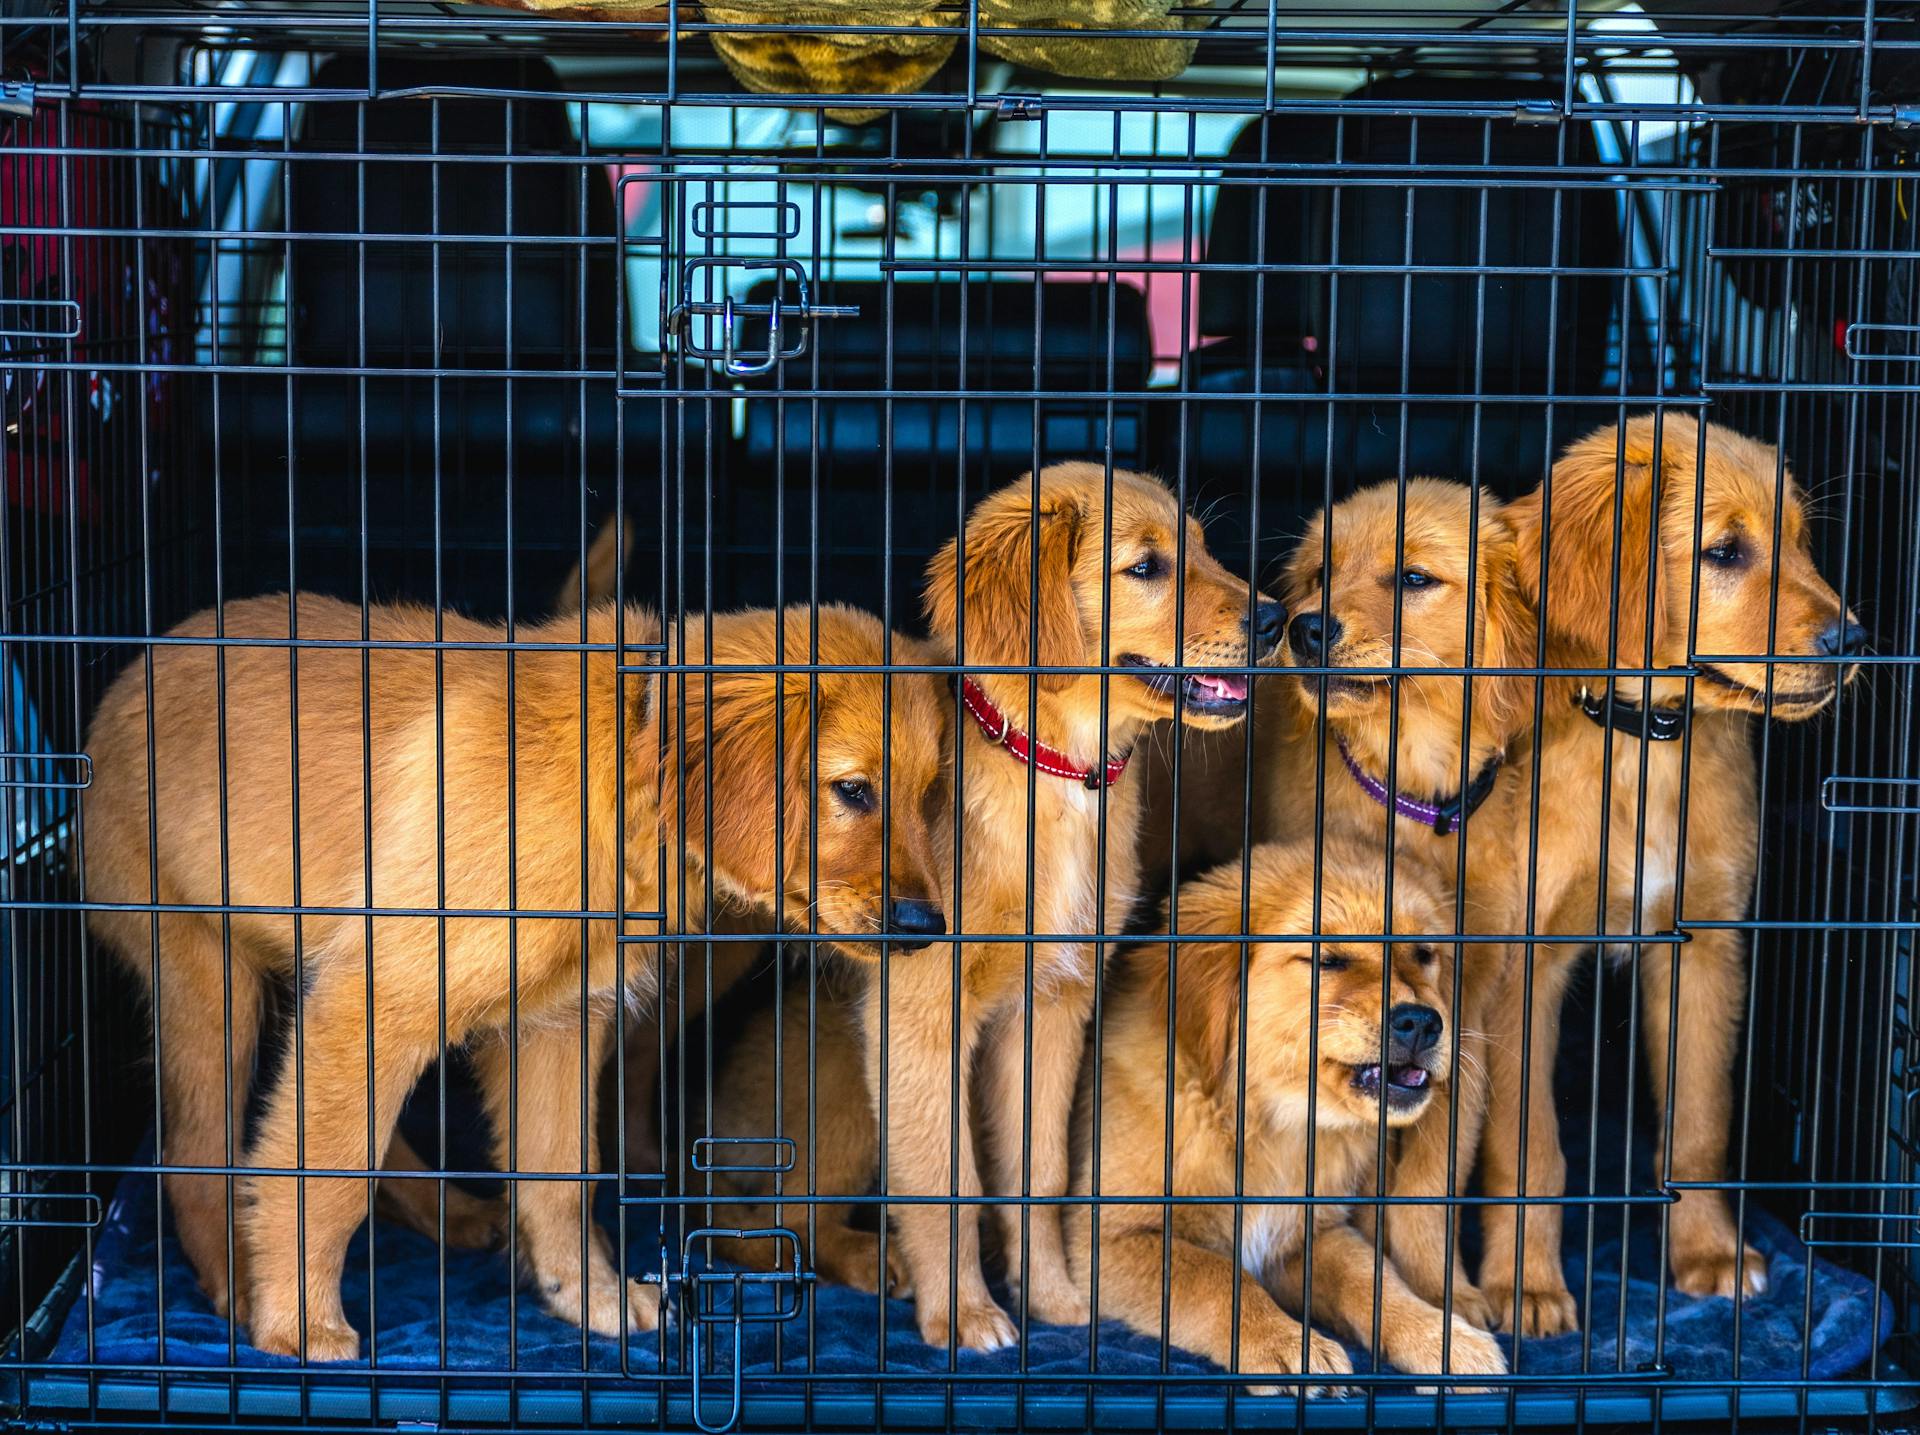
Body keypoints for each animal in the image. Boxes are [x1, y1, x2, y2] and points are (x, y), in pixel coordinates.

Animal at [1474, 413, 1866, 1337]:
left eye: (1801, 542)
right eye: (1725, 551)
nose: (1853, 642)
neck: (1646, 743)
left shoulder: (1706, 946)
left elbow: (1698, 1121)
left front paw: (1709, 1253)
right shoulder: (1519, 967)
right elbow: (1530, 1144)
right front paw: (1526, 1283)